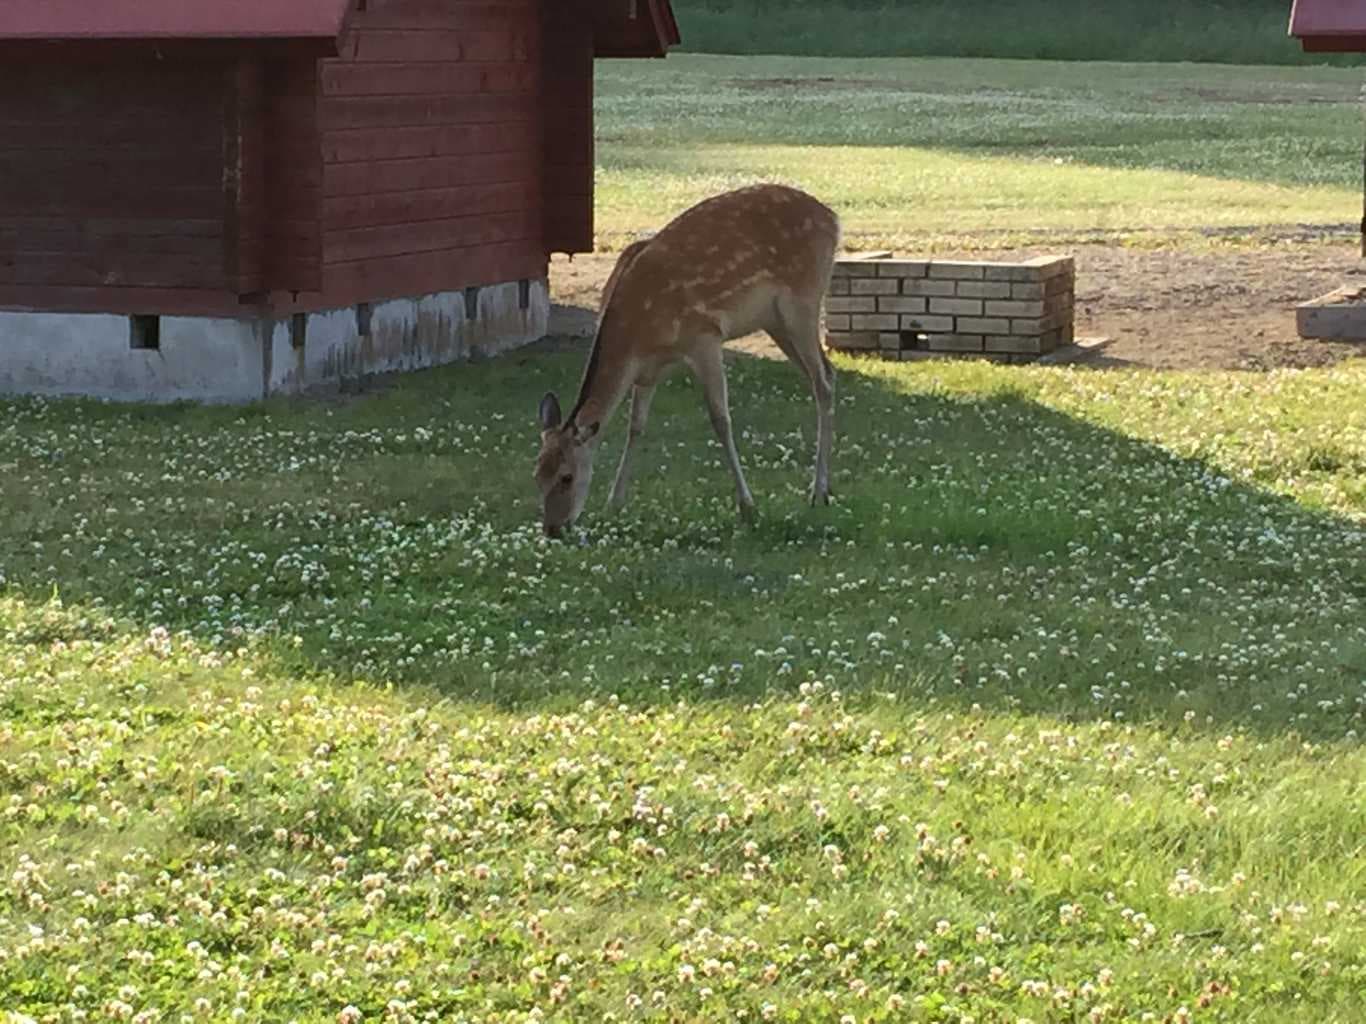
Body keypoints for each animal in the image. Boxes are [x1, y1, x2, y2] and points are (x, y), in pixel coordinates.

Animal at [535, 182, 841, 540]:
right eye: (536, 473)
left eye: (567, 476)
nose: (552, 528)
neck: (638, 333)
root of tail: (833, 219)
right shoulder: (647, 372)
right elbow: (635, 426)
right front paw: (614, 502)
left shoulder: (704, 336)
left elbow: (721, 420)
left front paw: (747, 506)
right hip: (775, 320)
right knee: (827, 373)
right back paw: (826, 487)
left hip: (803, 299)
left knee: (821, 382)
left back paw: (817, 491)